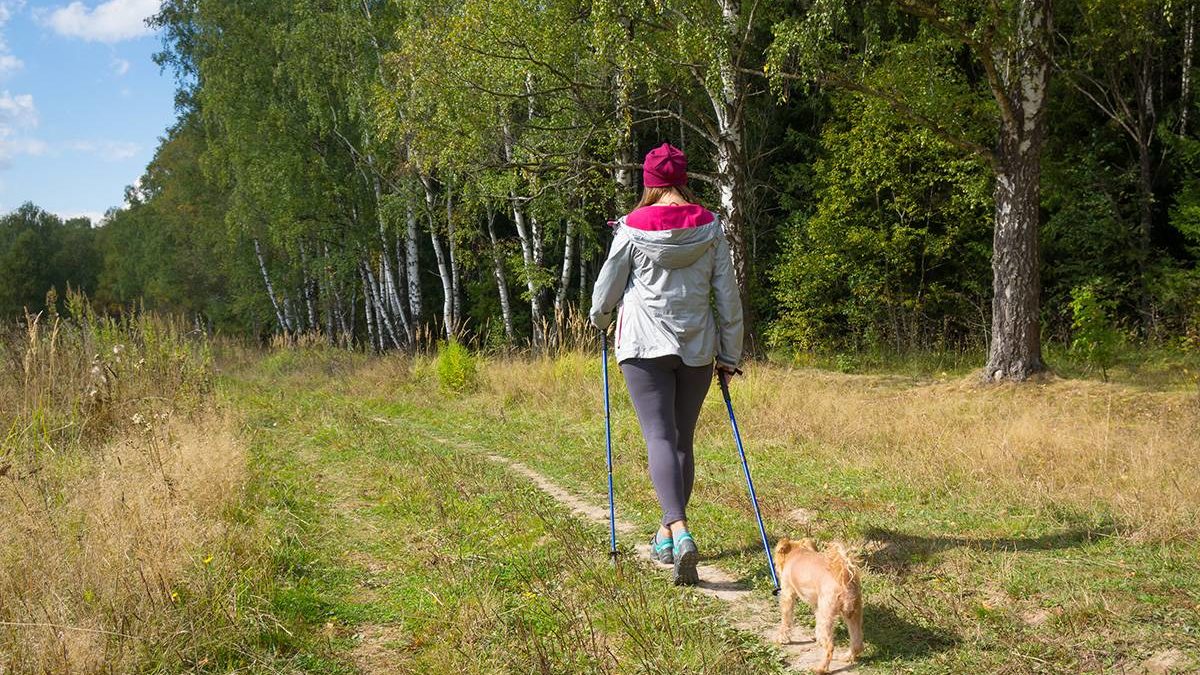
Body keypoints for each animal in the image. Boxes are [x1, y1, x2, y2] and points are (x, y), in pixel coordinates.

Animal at [777, 535, 864, 667]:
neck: (797, 553)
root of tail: (844, 579)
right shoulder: (817, 605)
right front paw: (817, 638)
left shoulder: (787, 594)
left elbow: (786, 620)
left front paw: (782, 638)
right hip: (853, 613)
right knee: (857, 643)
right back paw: (846, 657)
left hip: (828, 614)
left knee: (830, 647)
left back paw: (819, 668)